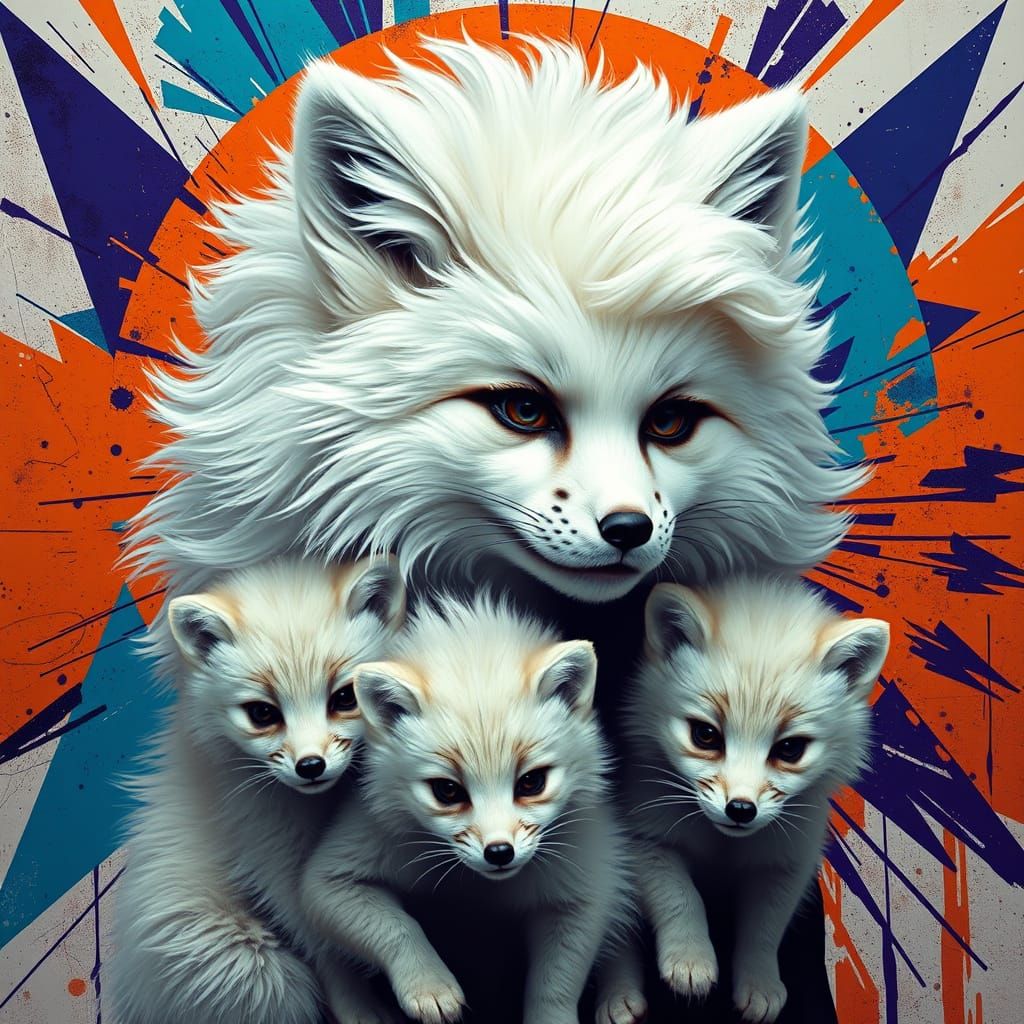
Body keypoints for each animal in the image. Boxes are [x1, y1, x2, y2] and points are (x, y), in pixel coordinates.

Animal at [107, 557, 406, 1024]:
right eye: (262, 713)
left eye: (344, 698)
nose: (310, 766)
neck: (315, 810)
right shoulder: (271, 862)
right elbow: (325, 948)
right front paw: (360, 1009)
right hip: (259, 969)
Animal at [300, 594, 639, 1024]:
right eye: (448, 790)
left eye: (531, 782)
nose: (499, 853)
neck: (479, 893)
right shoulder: (330, 878)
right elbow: (397, 926)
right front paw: (429, 986)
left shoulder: (587, 887)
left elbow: (555, 986)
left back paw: (622, 998)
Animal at [614, 577, 888, 1023]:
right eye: (705, 735)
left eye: (790, 748)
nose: (740, 810)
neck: (723, 847)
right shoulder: (646, 840)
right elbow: (681, 897)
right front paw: (690, 960)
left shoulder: (787, 863)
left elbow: (763, 930)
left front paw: (759, 985)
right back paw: (618, 996)